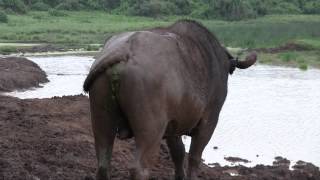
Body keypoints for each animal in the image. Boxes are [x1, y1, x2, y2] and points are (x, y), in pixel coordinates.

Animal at [83, 20, 258, 180]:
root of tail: (125, 49)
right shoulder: (209, 121)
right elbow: (194, 156)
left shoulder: (173, 125)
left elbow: (178, 153)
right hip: (151, 130)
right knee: (140, 168)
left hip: (102, 119)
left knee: (103, 164)